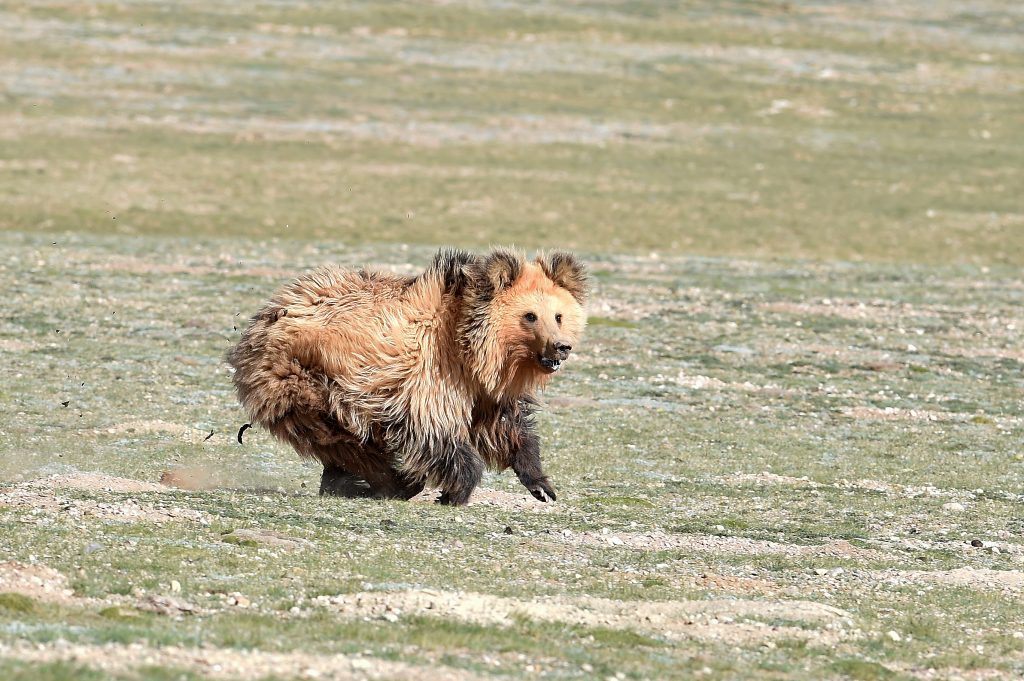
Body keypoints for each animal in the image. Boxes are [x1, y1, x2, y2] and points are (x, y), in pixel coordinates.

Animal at [227, 248, 588, 506]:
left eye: (558, 315)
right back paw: (391, 482)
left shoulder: (484, 391)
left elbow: (509, 428)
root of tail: (267, 313)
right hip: (306, 380)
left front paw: (541, 485)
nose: (561, 347)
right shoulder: (429, 379)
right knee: (344, 439)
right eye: (530, 316)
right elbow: (434, 433)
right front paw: (454, 491)